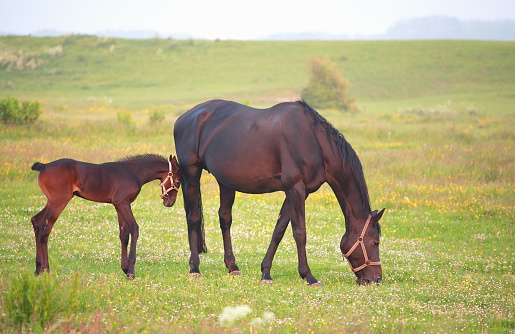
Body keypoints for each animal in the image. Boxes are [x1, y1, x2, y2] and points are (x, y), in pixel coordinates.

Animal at [30, 155, 182, 280]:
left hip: (52, 202)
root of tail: (44, 166)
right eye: (178, 181)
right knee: (45, 228)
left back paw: (38, 269)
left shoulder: (120, 205)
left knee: (37, 221)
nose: (170, 202)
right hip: (59, 201)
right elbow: (134, 229)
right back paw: (46, 270)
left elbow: (124, 234)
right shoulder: (122, 203)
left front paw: (125, 268)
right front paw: (131, 271)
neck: (133, 172)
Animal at [175, 98, 384, 284]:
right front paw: (309, 276)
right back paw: (195, 269)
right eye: (375, 242)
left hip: (225, 182)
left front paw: (266, 273)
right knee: (193, 218)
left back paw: (232, 267)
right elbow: (300, 232)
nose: (375, 279)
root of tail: (185, 117)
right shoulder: (295, 189)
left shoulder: (297, 192)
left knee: (225, 219)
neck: (314, 141)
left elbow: (279, 230)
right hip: (192, 173)